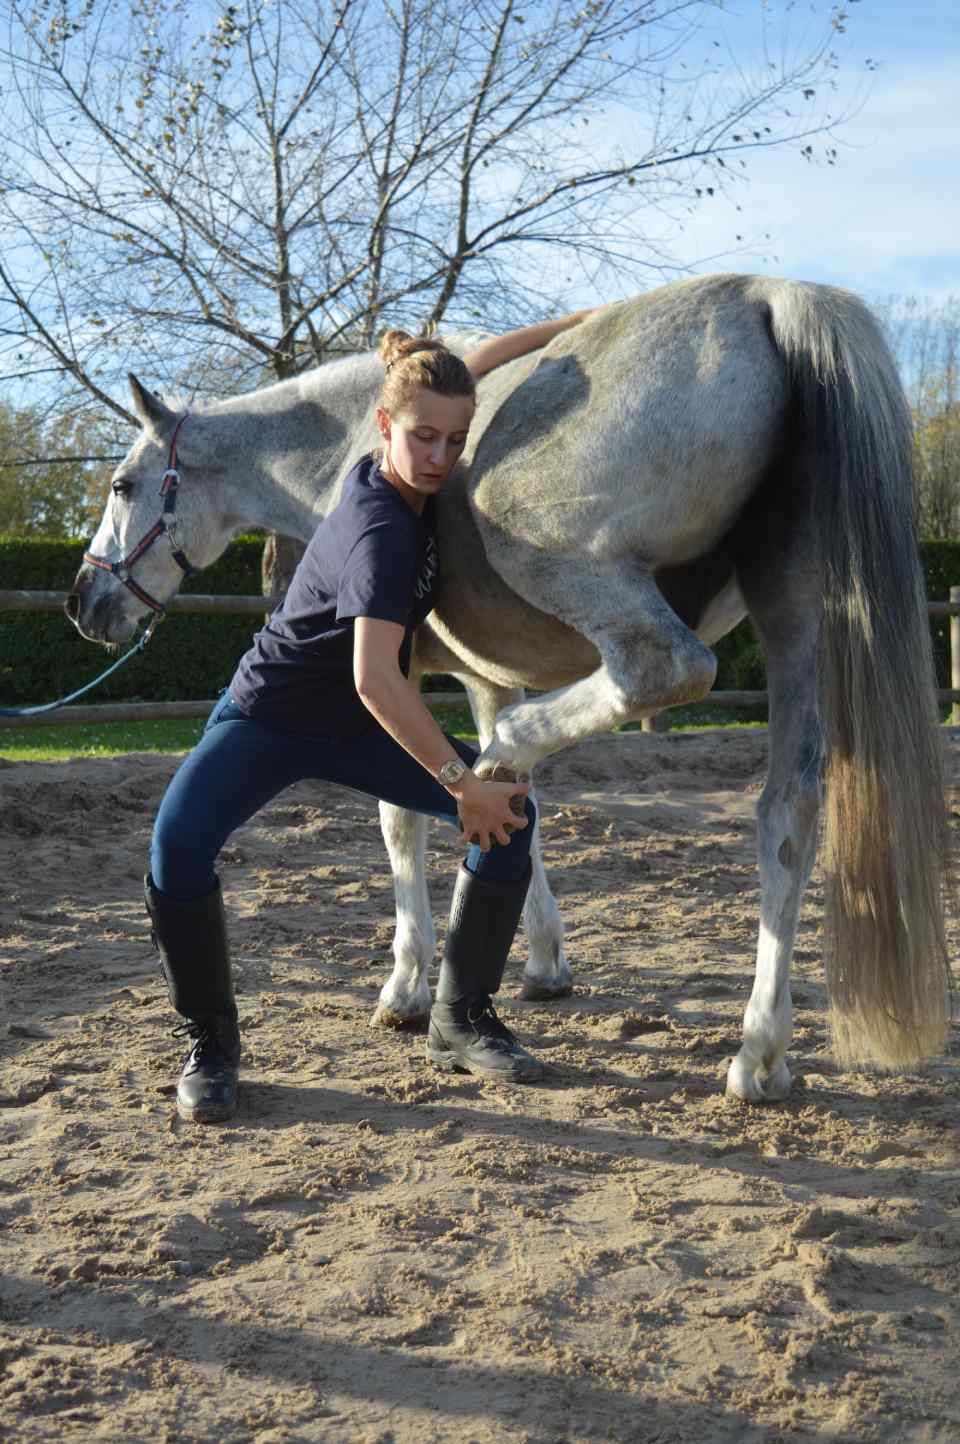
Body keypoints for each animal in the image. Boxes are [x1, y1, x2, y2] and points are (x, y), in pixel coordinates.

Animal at [69, 272, 952, 1103]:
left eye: (120, 485)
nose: (84, 599)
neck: (349, 449)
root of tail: (769, 296)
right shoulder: (488, 679)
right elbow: (528, 831)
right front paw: (543, 963)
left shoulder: (399, 671)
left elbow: (400, 823)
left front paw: (408, 987)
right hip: (796, 618)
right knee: (787, 817)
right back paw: (759, 1055)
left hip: (581, 572)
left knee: (663, 670)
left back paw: (505, 757)